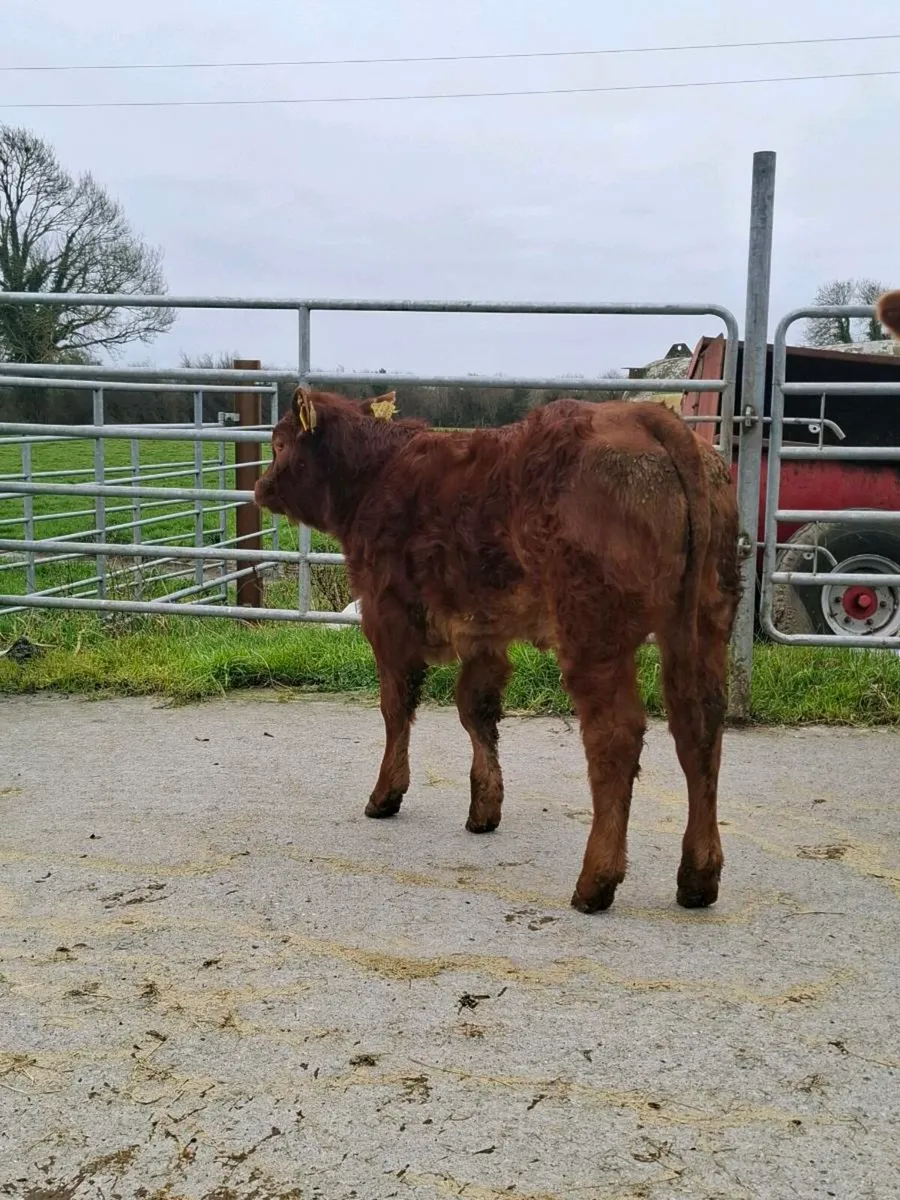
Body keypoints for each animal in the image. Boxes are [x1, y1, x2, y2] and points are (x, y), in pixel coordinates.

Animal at [255, 388, 740, 913]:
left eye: (279, 444)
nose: (260, 487)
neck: (377, 473)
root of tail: (643, 415)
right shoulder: (483, 633)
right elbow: (476, 710)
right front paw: (484, 807)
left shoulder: (387, 618)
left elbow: (396, 708)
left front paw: (386, 795)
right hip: (705, 623)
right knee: (700, 728)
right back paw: (698, 876)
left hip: (593, 631)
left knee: (616, 736)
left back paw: (596, 881)